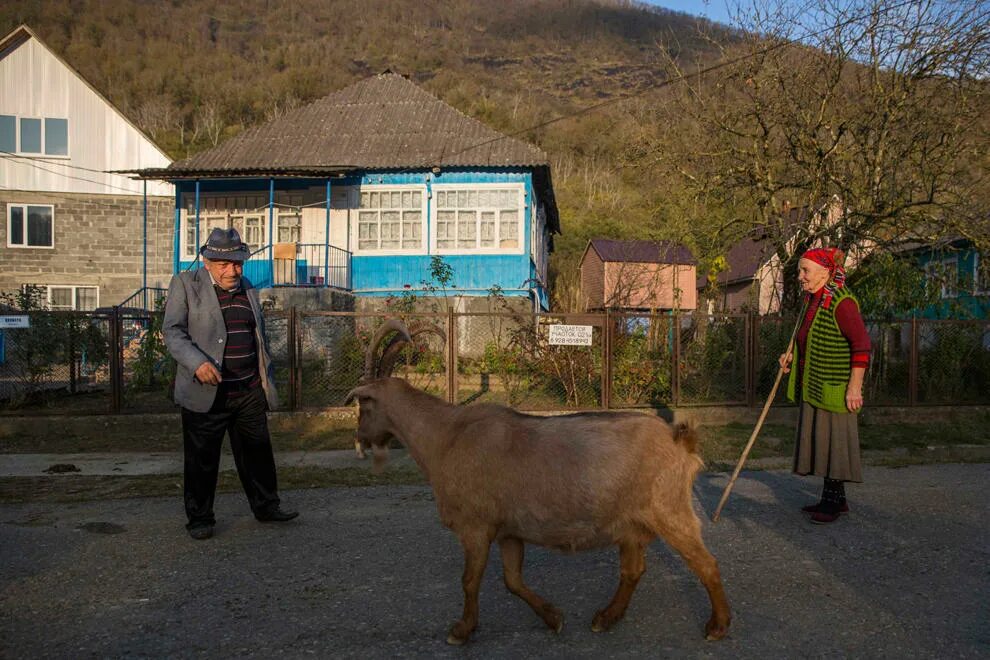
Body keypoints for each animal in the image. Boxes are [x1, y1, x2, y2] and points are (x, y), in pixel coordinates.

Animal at [346, 320, 728, 644]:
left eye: (365, 403)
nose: (361, 439)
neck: (445, 437)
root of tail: (681, 441)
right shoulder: (509, 532)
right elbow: (512, 580)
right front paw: (553, 617)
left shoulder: (475, 528)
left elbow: (469, 580)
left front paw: (462, 630)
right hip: (632, 524)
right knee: (633, 569)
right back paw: (605, 618)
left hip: (669, 511)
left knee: (706, 563)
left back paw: (717, 626)